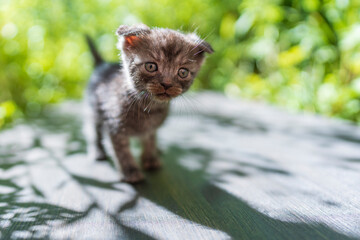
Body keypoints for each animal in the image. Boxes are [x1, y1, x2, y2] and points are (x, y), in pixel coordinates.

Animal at [86, 23, 212, 183]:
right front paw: (130, 170)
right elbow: (122, 151)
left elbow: (150, 139)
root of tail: (102, 64)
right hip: (93, 110)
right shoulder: (115, 126)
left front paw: (150, 158)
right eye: (151, 66)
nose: (167, 84)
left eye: (183, 72)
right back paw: (98, 151)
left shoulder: (152, 127)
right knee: (93, 130)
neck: (148, 107)